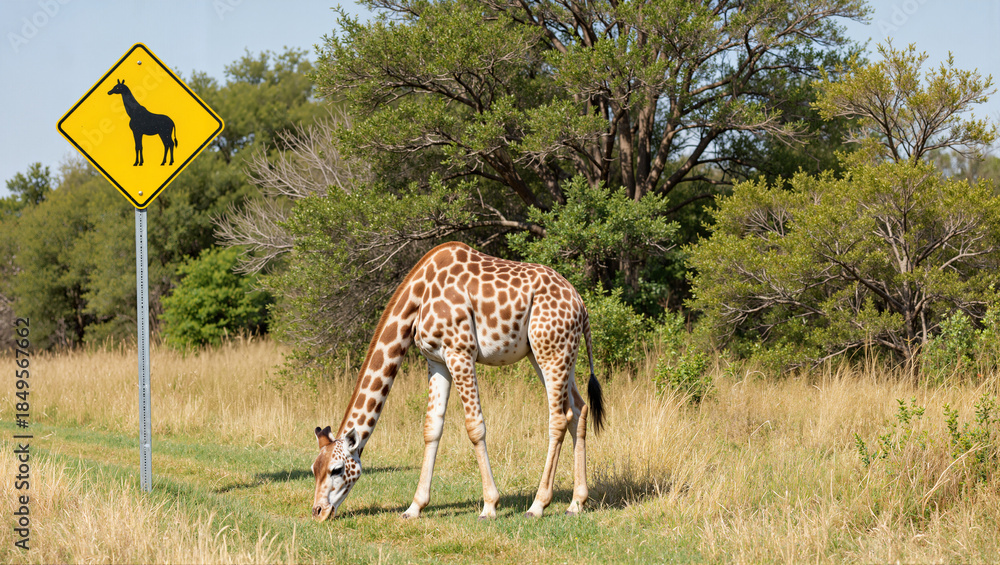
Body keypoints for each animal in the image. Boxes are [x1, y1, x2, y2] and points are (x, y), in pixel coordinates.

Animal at [311, 241, 605, 521]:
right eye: (314, 469)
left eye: (337, 469)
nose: (318, 512)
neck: (419, 295)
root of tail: (581, 305)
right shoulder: (436, 360)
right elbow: (431, 427)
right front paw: (414, 508)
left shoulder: (460, 351)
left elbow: (475, 427)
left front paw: (489, 506)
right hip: (551, 353)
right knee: (578, 409)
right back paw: (576, 503)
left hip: (551, 351)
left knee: (558, 418)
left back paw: (538, 505)